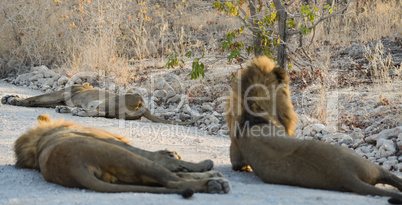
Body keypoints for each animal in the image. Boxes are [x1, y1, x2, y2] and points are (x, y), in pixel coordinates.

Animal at [14, 114, 229, 198]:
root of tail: (74, 166)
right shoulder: (123, 144)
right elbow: (160, 157)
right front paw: (202, 164)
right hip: (126, 156)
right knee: (173, 181)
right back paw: (215, 183)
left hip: (126, 174)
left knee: (168, 180)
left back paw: (214, 180)